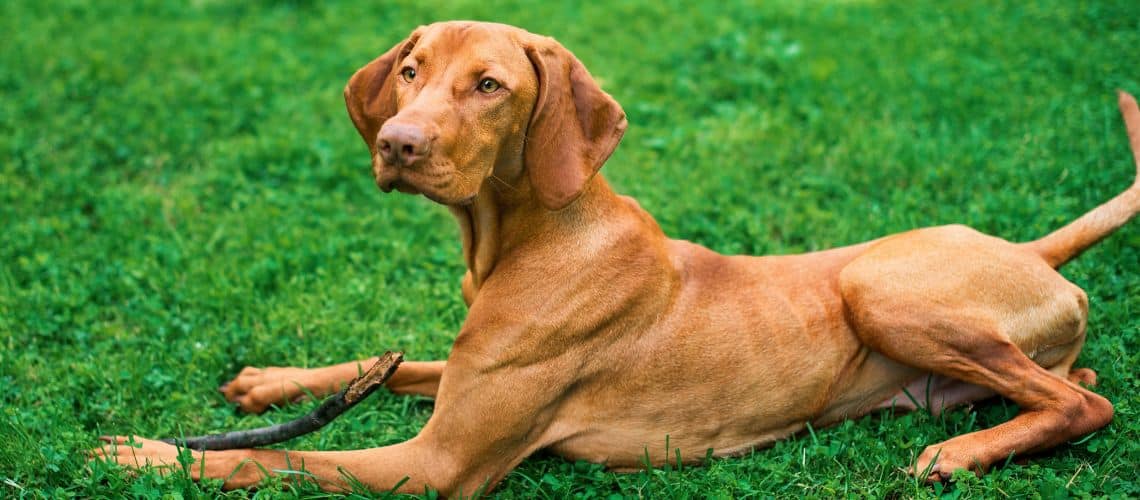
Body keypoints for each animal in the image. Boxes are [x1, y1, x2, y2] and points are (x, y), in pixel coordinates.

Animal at [98, 21, 1140, 494]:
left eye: (488, 85)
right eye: (411, 70)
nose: (397, 142)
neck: (525, 237)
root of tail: (1025, 244)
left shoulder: (434, 463)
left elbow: (271, 462)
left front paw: (140, 452)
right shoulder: (458, 373)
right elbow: (382, 364)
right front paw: (274, 382)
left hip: (872, 285)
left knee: (1088, 403)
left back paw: (959, 455)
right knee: (1073, 380)